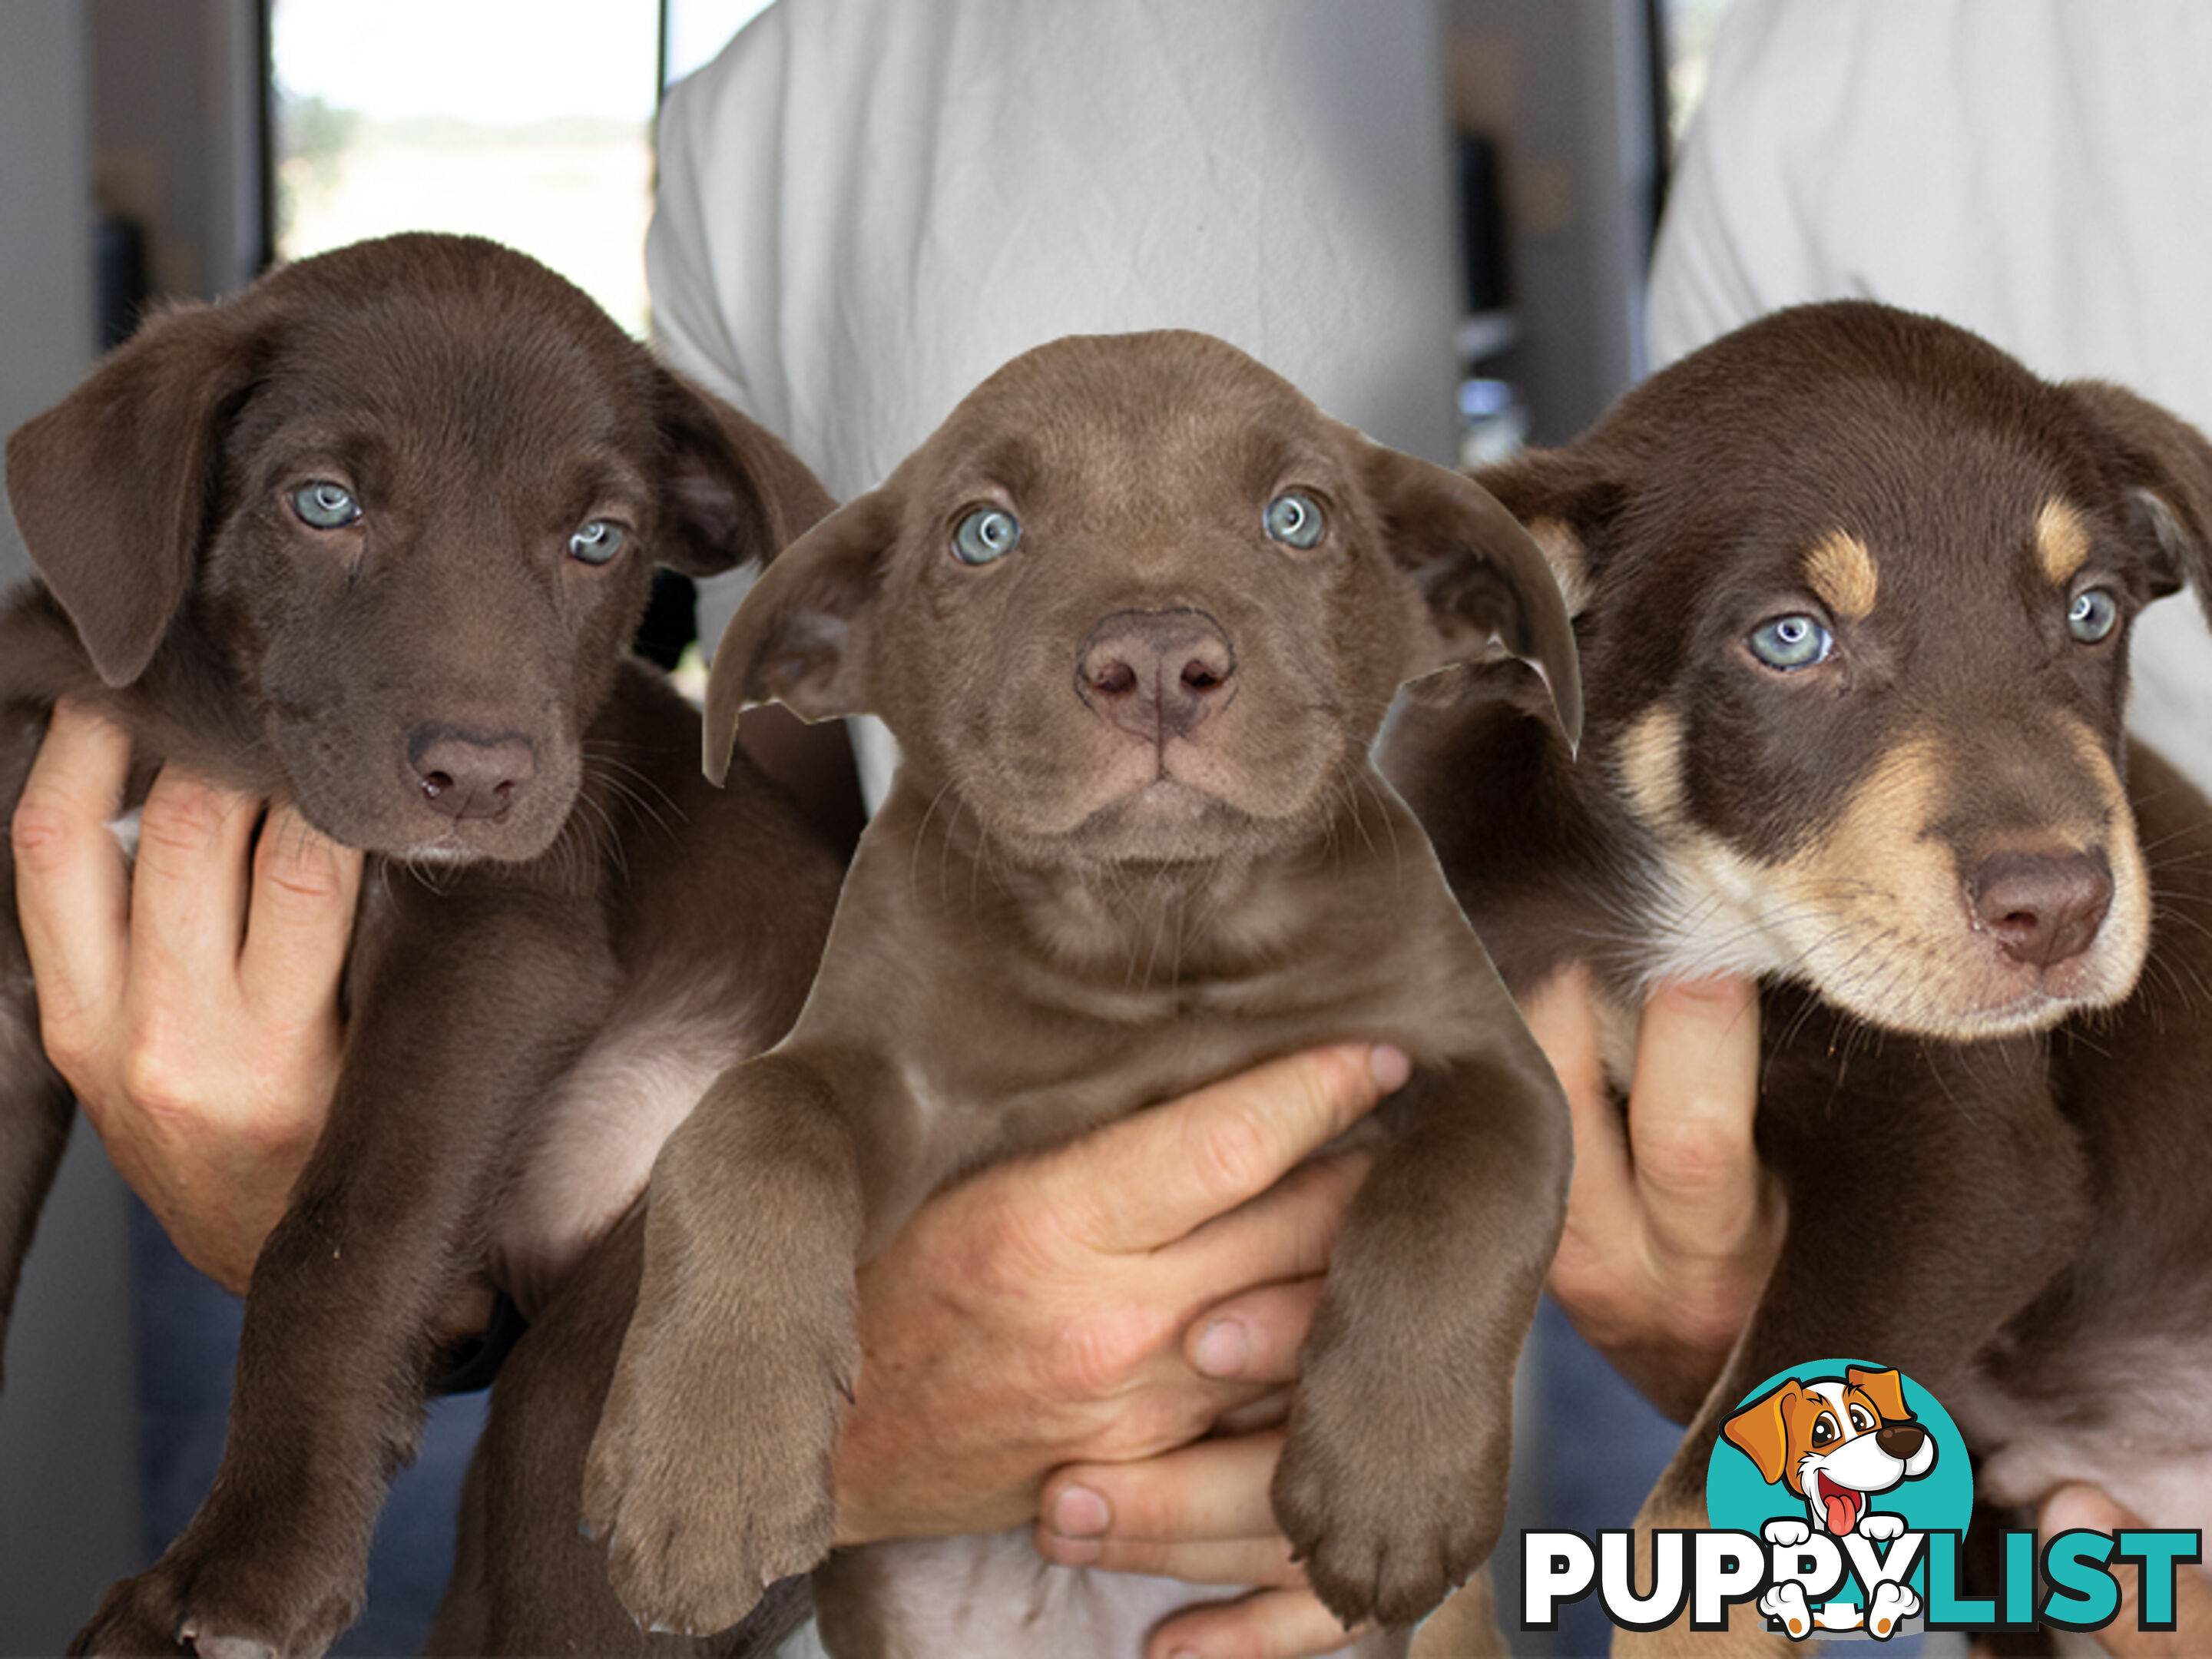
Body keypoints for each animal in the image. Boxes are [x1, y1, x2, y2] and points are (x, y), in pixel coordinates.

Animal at [0, 234, 845, 1659]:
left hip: (617, 1396)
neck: (216, 732)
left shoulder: (497, 942)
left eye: (598, 540)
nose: (481, 779)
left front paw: (250, 1564)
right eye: (324, 503)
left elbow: (342, 1235)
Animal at [553, 332, 1584, 1654]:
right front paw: (707, 1466)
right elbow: (752, 1125)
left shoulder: (1484, 1057)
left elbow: (1463, 1195)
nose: (1155, 665)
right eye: (983, 533)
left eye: (1296, 517)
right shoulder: (883, 1076)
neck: (1155, 936)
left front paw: (1395, 1482)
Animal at [1389, 303, 2212, 1654]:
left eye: (2091, 613)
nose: (2060, 909)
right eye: (1790, 638)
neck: (1673, 915)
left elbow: (1695, 1537)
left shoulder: (1968, 1166)